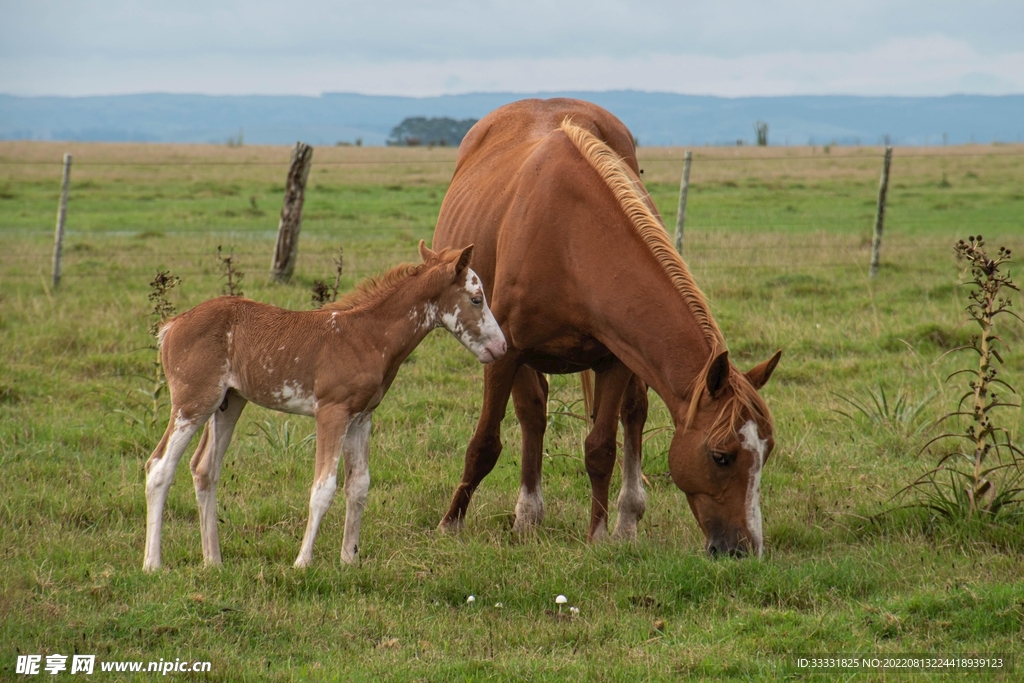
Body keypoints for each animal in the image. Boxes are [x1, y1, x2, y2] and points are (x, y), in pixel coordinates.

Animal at [142, 243, 506, 571]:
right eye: (476, 299)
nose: (501, 346)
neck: (367, 337)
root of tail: (172, 325)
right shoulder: (332, 412)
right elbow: (323, 488)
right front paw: (302, 563)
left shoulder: (361, 417)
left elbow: (358, 486)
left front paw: (349, 561)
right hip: (193, 401)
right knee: (159, 467)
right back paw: (153, 564)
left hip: (228, 403)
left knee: (205, 469)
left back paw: (213, 562)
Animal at [432, 99, 781, 557]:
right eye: (721, 456)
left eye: (767, 452)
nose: (745, 549)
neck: (570, 238)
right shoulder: (504, 355)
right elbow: (484, 444)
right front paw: (450, 524)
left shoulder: (616, 358)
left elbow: (600, 448)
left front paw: (597, 535)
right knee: (533, 413)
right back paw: (527, 515)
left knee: (631, 414)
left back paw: (624, 518)